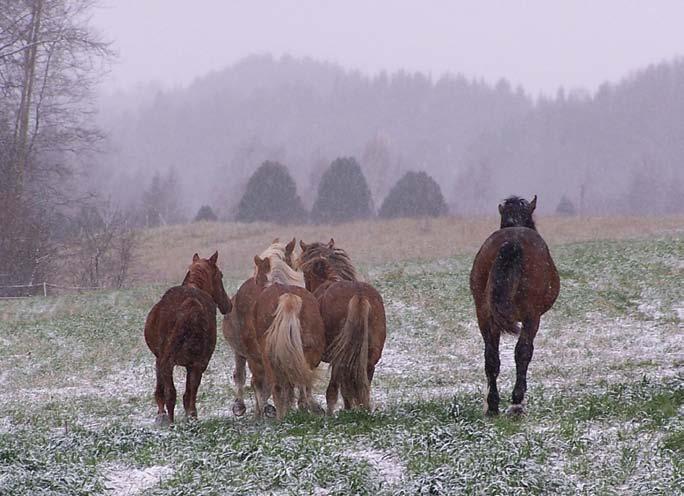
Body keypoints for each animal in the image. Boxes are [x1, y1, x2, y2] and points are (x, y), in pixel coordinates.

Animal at [143, 254, 231, 424]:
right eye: (221, 275)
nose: (228, 305)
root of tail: (190, 306)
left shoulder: (160, 359)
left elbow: (161, 391)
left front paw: (161, 415)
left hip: (175, 362)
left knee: (173, 393)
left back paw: (173, 422)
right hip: (196, 362)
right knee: (188, 392)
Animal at [246, 254, 326, 420]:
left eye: (257, 279)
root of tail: (289, 298)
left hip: (270, 358)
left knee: (277, 386)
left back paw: (282, 417)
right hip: (310, 353)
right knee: (305, 382)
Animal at [298, 240, 388, 414]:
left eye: (305, 272)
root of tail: (359, 295)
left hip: (339, 355)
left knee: (335, 387)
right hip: (369, 354)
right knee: (360, 381)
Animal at [470, 196, 560, 416]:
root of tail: (512, 241)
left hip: (484, 314)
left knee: (491, 358)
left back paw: (493, 405)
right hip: (530, 316)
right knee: (522, 352)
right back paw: (516, 401)